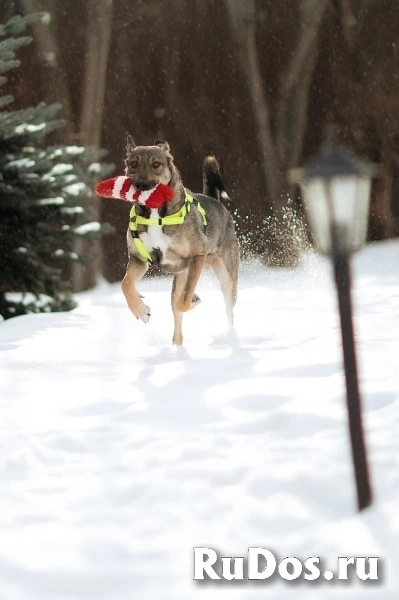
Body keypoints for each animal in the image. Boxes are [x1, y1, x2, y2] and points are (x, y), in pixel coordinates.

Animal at [122, 135, 241, 342]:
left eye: (156, 164)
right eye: (133, 164)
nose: (141, 185)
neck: (157, 214)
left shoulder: (197, 256)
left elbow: (182, 303)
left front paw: (192, 301)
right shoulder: (138, 259)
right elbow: (126, 284)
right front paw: (140, 310)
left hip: (226, 276)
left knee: (228, 310)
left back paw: (230, 337)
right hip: (181, 277)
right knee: (177, 326)